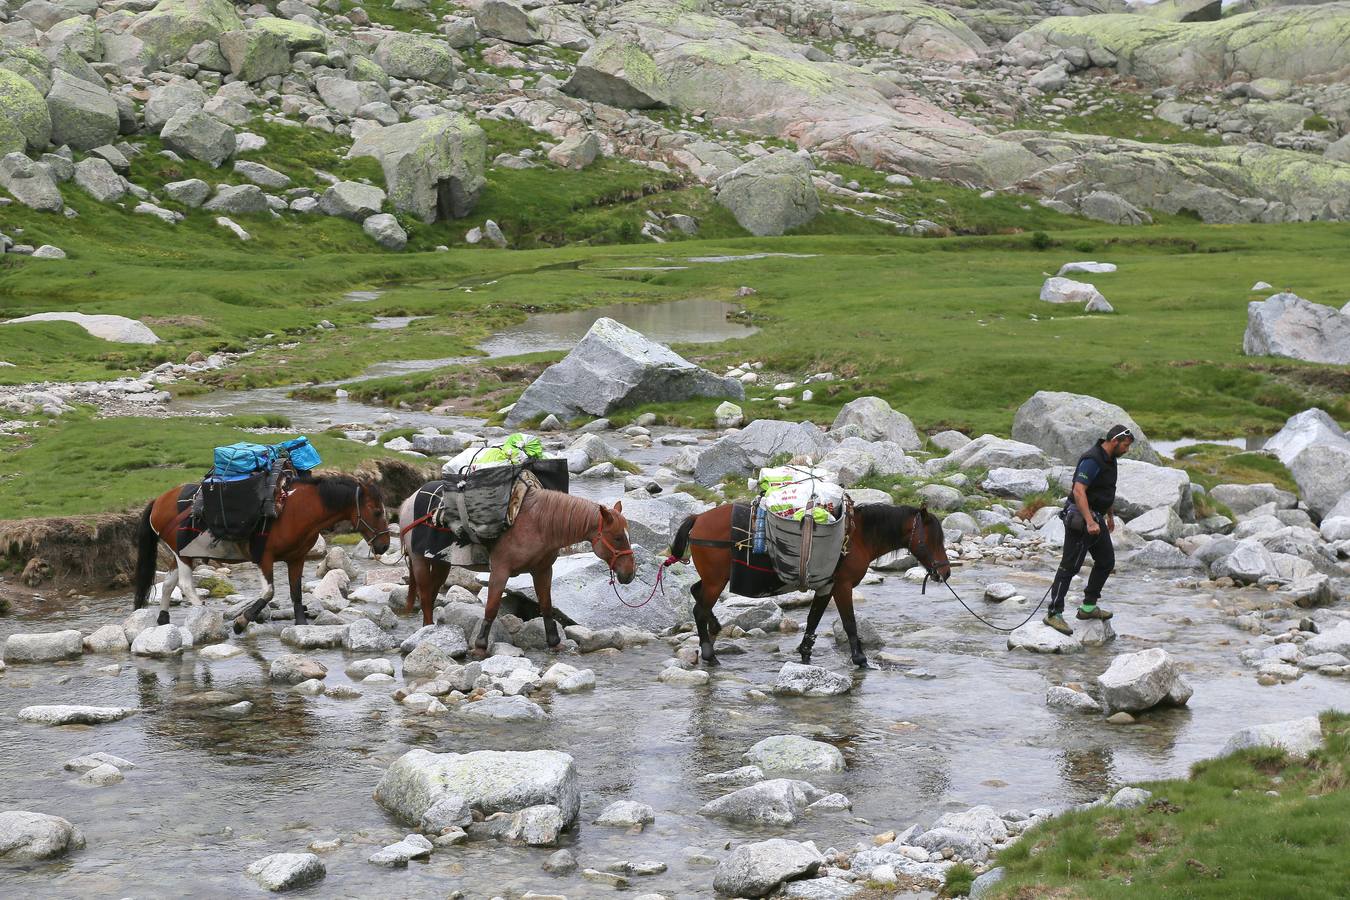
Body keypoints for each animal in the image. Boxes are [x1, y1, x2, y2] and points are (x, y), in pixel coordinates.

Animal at [133, 474, 392, 633]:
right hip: (184, 554)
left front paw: (301, 623)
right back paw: (207, 615)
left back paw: (163, 620)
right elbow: (269, 592)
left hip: (179, 554)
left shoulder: (296, 558)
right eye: (377, 511)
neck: (298, 511)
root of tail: (158, 501)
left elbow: (296, 593)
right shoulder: (264, 558)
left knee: (168, 584)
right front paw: (240, 622)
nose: (384, 546)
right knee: (185, 586)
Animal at [398, 484, 636, 653]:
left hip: (440, 563)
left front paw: (554, 643)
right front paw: (481, 647)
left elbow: (546, 605)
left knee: (432, 594)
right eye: (617, 537)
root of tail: (409, 500)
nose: (629, 574)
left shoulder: (543, 570)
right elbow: (492, 608)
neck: (537, 523)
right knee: (425, 596)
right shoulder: (500, 571)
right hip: (420, 560)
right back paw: (427, 630)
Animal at [669, 502, 951, 667]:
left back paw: (715, 629)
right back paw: (709, 654)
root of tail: (698, 518)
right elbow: (849, 622)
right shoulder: (842, 586)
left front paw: (805, 652)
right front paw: (860, 659)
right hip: (716, 581)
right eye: (932, 539)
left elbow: (814, 619)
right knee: (699, 609)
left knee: (696, 594)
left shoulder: (827, 586)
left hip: (713, 579)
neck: (857, 537)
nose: (945, 572)